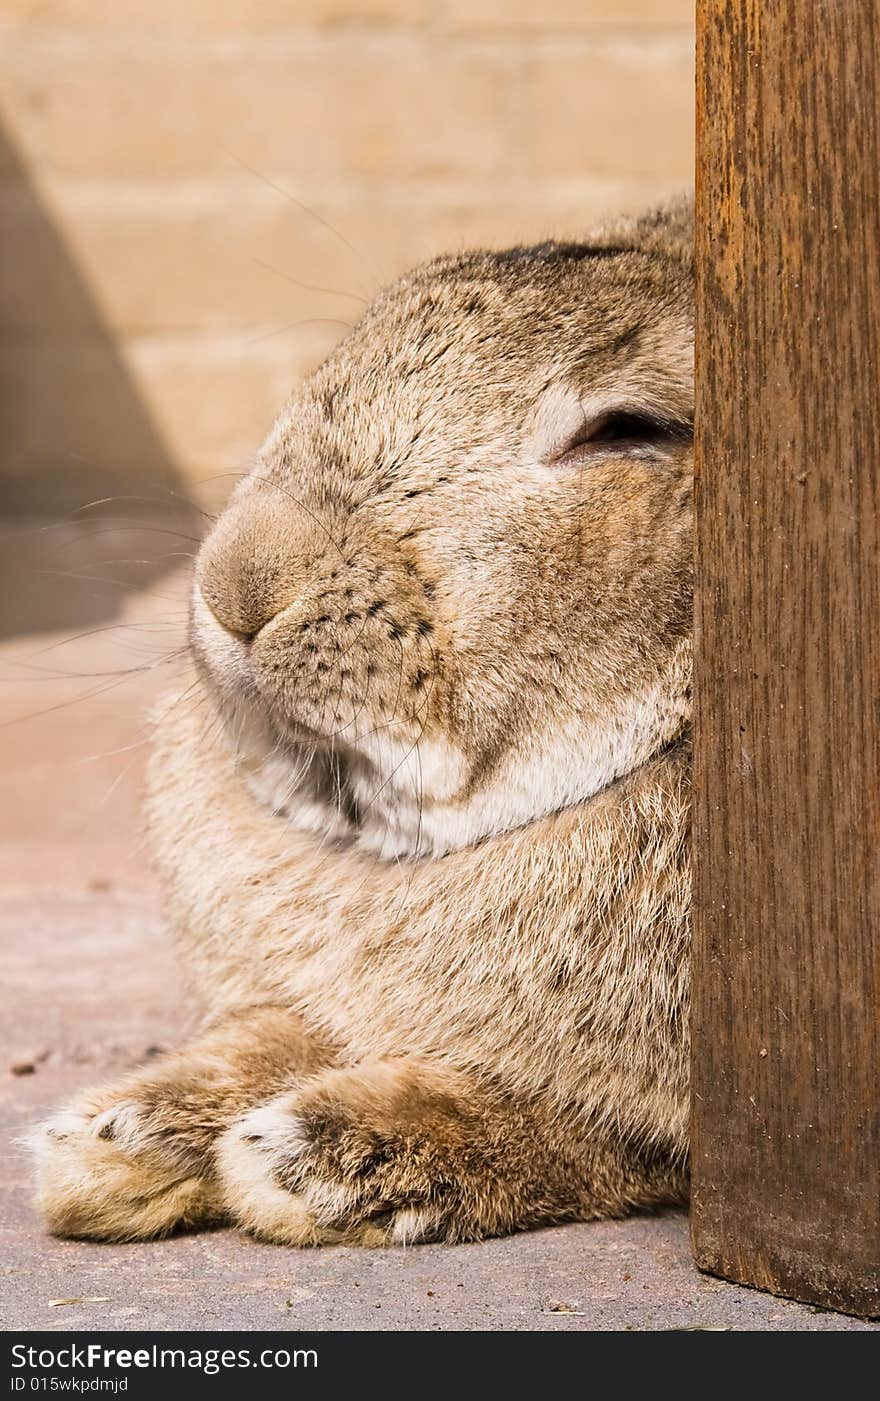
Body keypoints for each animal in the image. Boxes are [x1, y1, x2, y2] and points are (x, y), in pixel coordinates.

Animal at [32, 197, 695, 1249]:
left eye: (629, 428)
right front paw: (116, 1139)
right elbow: (271, 1033)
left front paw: (318, 1156)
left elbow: (583, 1124)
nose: (240, 585)